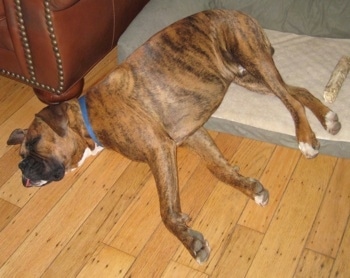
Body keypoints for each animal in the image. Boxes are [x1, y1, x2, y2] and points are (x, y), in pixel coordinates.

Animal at [6, 10, 340, 262]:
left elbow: (167, 210)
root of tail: (237, 12)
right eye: (20, 156)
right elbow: (217, 167)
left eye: (34, 142)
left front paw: (188, 240)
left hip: (253, 59)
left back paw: (306, 138)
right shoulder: (190, 135)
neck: (91, 117)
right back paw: (328, 118)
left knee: (291, 100)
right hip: (248, 77)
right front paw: (248, 186)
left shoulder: (159, 149)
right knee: (297, 91)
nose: (22, 169)